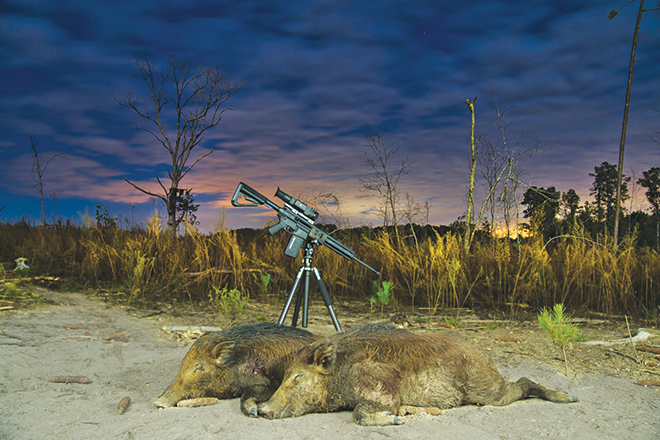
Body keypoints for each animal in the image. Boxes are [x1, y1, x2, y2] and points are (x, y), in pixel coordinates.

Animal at [154, 322, 317, 416]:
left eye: (199, 367)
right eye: (183, 364)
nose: (157, 402)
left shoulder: (270, 383)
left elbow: (248, 394)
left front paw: (253, 412)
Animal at [258, 323, 578, 426]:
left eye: (298, 377)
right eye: (285, 375)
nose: (262, 411)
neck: (342, 374)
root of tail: (481, 353)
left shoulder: (382, 386)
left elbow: (360, 413)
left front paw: (396, 419)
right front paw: (401, 416)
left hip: (488, 390)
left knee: (523, 382)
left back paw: (569, 399)